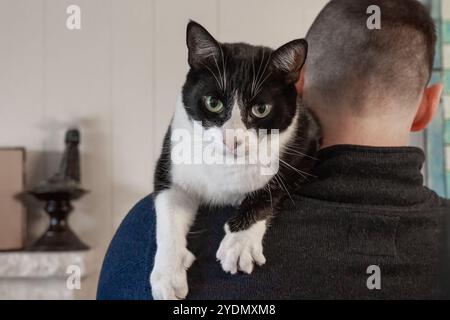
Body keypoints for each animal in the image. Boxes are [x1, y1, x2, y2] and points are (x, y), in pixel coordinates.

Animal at [151, 20, 320, 300]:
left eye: (261, 109)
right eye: (213, 102)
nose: (231, 139)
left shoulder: (306, 141)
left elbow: (271, 187)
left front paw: (240, 243)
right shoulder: (171, 160)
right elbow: (167, 207)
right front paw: (167, 273)